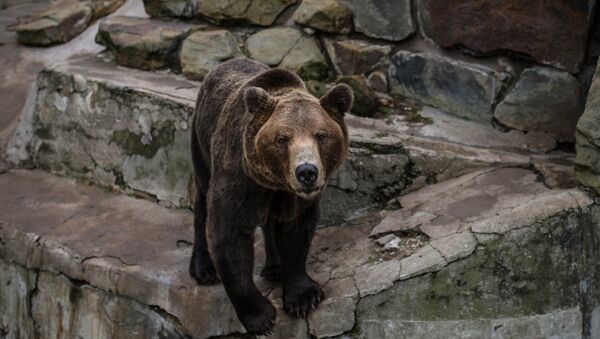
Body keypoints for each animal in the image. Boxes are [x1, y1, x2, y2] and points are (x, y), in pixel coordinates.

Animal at [190, 57, 354, 334]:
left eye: (321, 135)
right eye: (282, 139)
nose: (306, 172)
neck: (276, 183)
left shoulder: (295, 198)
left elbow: (296, 233)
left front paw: (303, 298)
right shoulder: (238, 178)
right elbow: (229, 234)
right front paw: (261, 317)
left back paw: (274, 267)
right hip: (200, 139)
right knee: (202, 198)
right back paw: (203, 269)